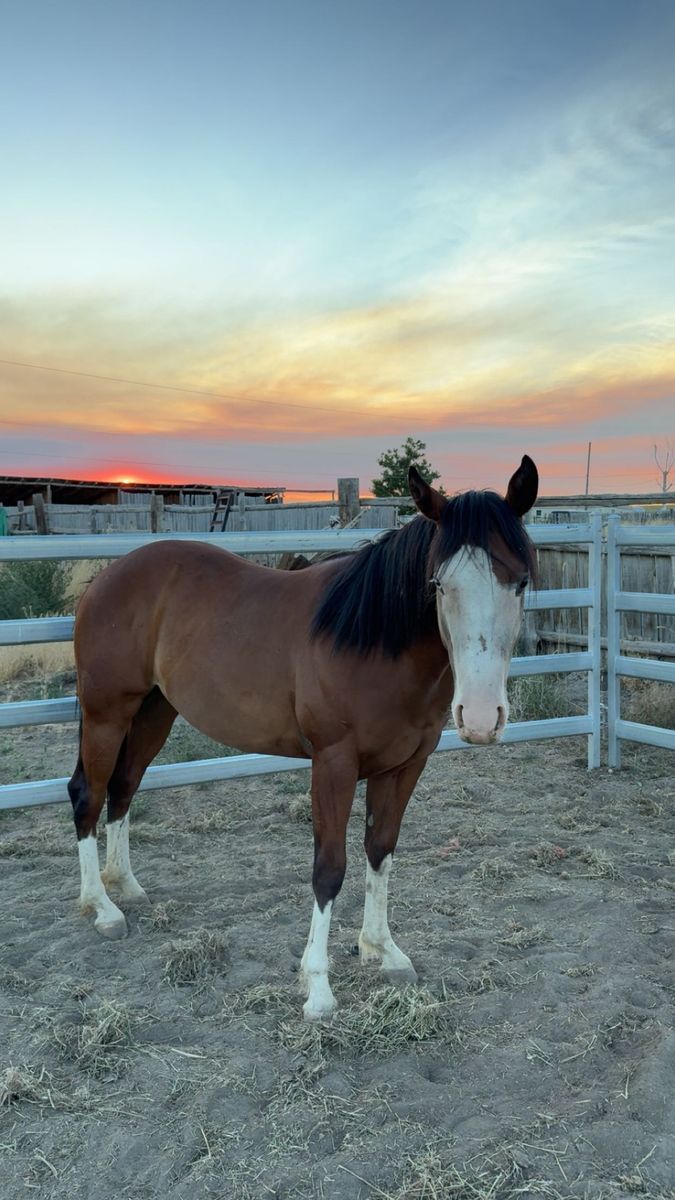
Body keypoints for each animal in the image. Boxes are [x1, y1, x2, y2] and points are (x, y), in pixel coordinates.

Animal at [68, 457, 538, 1019]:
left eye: (520, 582)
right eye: (439, 585)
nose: (482, 717)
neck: (373, 640)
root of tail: (107, 577)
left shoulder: (405, 764)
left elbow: (380, 850)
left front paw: (382, 951)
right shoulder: (333, 763)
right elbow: (329, 868)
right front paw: (318, 987)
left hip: (154, 712)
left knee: (123, 788)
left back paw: (126, 886)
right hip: (107, 714)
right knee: (89, 795)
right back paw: (102, 907)